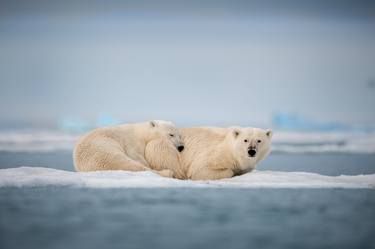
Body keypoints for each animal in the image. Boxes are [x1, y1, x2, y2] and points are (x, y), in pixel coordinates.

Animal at [145, 127, 274, 180]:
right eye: (245, 140)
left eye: (259, 140)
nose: (251, 151)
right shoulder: (215, 154)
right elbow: (200, 170)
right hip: (163, 146)